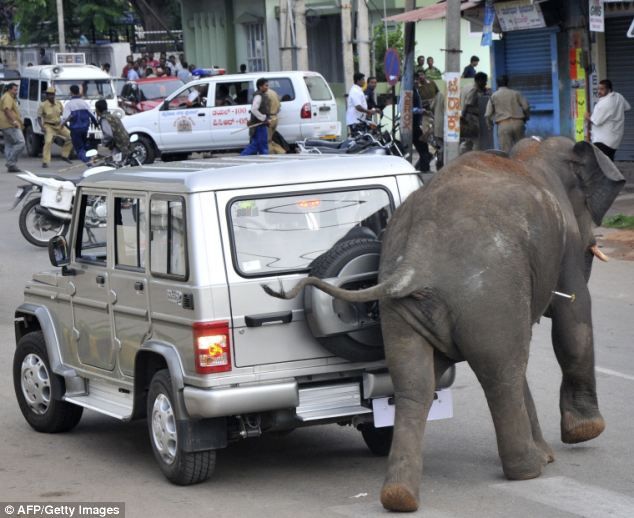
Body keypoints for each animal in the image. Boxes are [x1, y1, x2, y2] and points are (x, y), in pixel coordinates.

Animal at [262, 138, 624, 516]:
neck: (528, 155)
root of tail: (417, 259)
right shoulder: (564, 243)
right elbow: (573, 315)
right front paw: (585, 431)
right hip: (487, 293)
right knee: (501, 372)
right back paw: (528, 470)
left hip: (406, 310)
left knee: (416, 384)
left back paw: (400, 497)